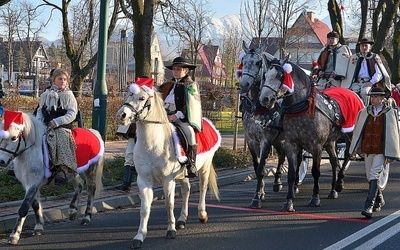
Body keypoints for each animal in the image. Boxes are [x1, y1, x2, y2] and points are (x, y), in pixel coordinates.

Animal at [0, 111, 104, 244]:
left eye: (13, 138)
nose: (1, 161)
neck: (31, 152)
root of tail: (93, 132)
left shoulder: (33, 184)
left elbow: (24, 208)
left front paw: (14, 235)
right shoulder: (30, 183)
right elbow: (35, 204)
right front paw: (38, 227)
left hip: (90, 169)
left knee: (91, 189)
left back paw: (86, 217)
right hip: (71, 172)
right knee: (79, 185)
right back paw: (72, 210)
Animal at [115, 83, 222, 248]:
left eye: (142, 98)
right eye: (129, 95)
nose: (122, 115)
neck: (153, 144)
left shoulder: (168, 180)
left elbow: (169, 204)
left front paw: (170, 230)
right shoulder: (144, 181)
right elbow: (144, 209)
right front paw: (140, 236)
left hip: (204, 167)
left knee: (203, 188)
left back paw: (202, 214)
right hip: (183, 174)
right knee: (186, 190)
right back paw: (182, 219)